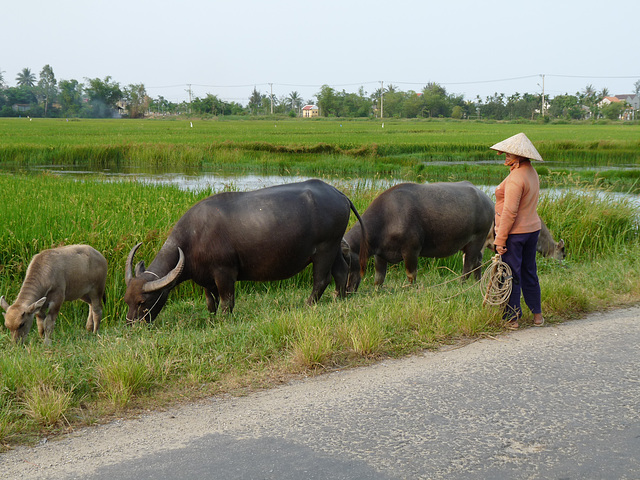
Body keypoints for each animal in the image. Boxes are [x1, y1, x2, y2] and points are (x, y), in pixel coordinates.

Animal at [125, 178, 368, 320]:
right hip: (333, 247)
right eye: (126, 300)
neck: (193, 238)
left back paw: (309, 304)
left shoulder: (225, 272)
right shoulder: (206, 278)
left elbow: (226, 301)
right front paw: (211, 317)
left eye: (142, 302)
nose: (131, 325)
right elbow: (210, 301)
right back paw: (339, 298)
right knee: (341, 271)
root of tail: (339, 194)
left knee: (321, 279)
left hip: (324, 250)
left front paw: (223, 319)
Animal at [340, 182, 496, 290]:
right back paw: (477, 282)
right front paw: (378, 289)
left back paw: (461, 284)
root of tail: (488, 200)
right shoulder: (380, 255)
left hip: (476, 241)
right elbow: (379, 278)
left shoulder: (411, 250)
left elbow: (411, 274)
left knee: (469, 264)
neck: (387, 218)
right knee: (477, 262)